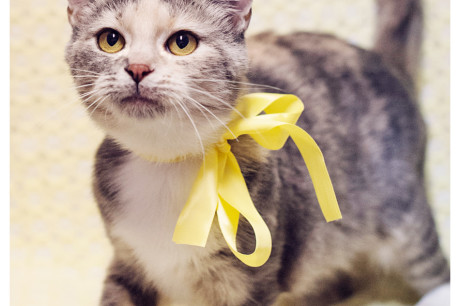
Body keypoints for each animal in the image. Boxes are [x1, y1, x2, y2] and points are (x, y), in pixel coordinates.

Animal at [64, 0, 450, 306]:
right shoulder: (126, 259)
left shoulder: (253, 276)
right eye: (110, 40)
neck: (167, 164)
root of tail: (383, 61)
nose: (138, 68)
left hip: (405, 212)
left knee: (434, 267)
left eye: (182, 42)